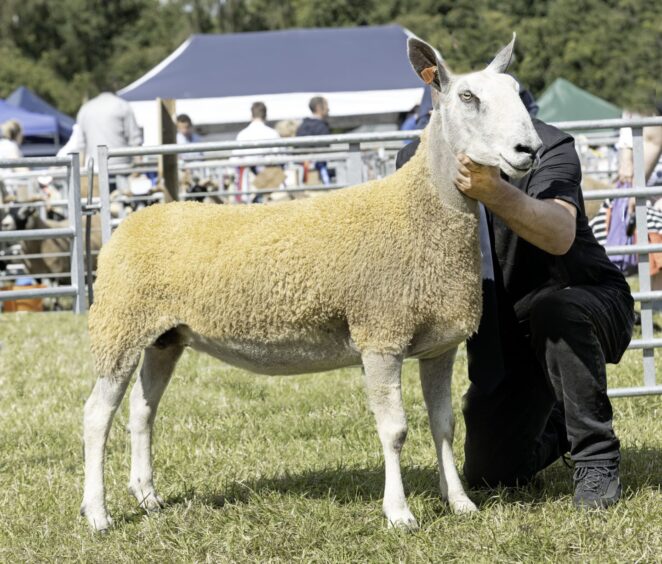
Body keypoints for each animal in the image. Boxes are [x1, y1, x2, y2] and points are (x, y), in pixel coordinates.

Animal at [80, 36, 544, 532]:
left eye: (516, 90)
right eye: (467, 97)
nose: (529, 148)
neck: (419, 209)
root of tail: (130, 223)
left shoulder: (439, 344)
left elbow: (444, 425)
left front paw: (459, 502)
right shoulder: (380, 334)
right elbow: (395, 431)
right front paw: (399, 513)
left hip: (164, 337)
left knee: (142, 410)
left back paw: (147, 496)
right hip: (119, 327)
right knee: (97, 415)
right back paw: (98, 514)